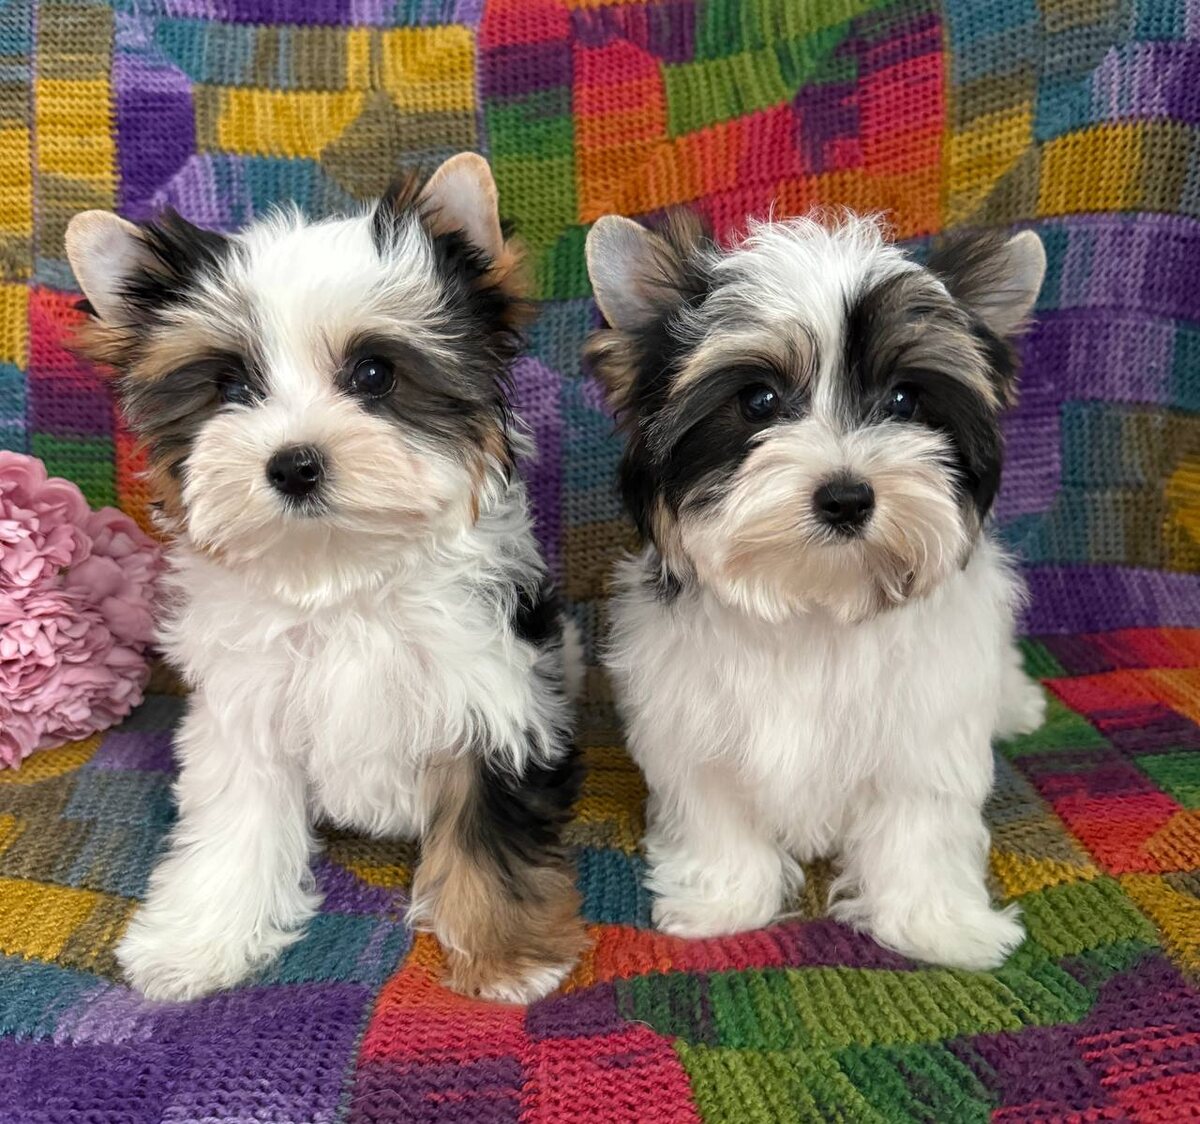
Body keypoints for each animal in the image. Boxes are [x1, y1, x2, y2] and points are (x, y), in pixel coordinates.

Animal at [65, 154, 585, 1003]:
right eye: (230, 386)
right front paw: (198, 938)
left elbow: (488, 822)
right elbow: (235, 823)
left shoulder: (495, 694)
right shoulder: (242, 712)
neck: (341, 575)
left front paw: (507, 954)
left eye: (374, 373)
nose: (294, 462)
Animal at [585, 210, 1047, 969]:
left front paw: (937, 923)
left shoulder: (926, 730)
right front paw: (724, 900)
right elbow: (716, 809)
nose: (847, 497)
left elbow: (920, 822)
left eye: (904, 400)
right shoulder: (693, 723)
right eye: (760, 401)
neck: (816, 604)